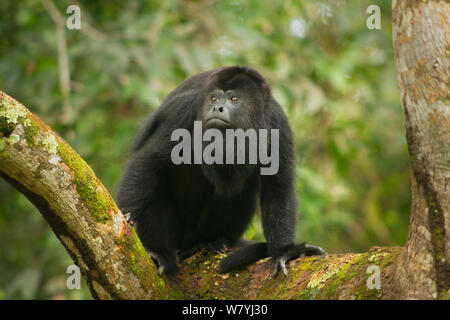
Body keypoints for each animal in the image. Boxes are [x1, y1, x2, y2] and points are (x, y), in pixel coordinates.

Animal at [117, 65, 326, 276]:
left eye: (234, 99)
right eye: (214, 98)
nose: (216, 108)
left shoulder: (277, 123)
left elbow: (278, 188)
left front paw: (285, 251)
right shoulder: (183, 112)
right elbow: (146, 162)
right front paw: (127, 213)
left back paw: (212, 242)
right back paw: (161, 253)